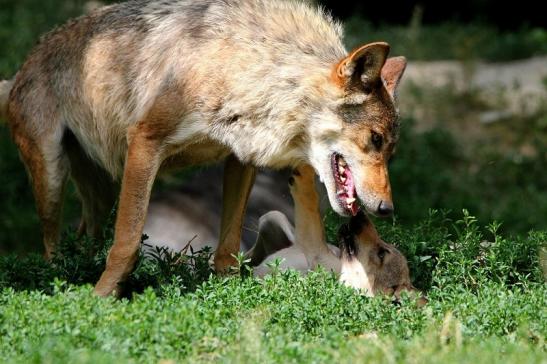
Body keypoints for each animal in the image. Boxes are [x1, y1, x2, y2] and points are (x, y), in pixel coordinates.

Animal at [0, 0, 406, 296]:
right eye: (375, 139)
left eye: (389, 151)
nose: (386, 209)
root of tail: (21, 69)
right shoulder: (145, 142)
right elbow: (127, 244)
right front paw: (100, 299)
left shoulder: (240, 158)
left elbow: (227, 248)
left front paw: (229, 293)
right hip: (53, 179)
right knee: (52, 245)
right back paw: (60, 282)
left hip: (100, 193)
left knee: (85, 236)